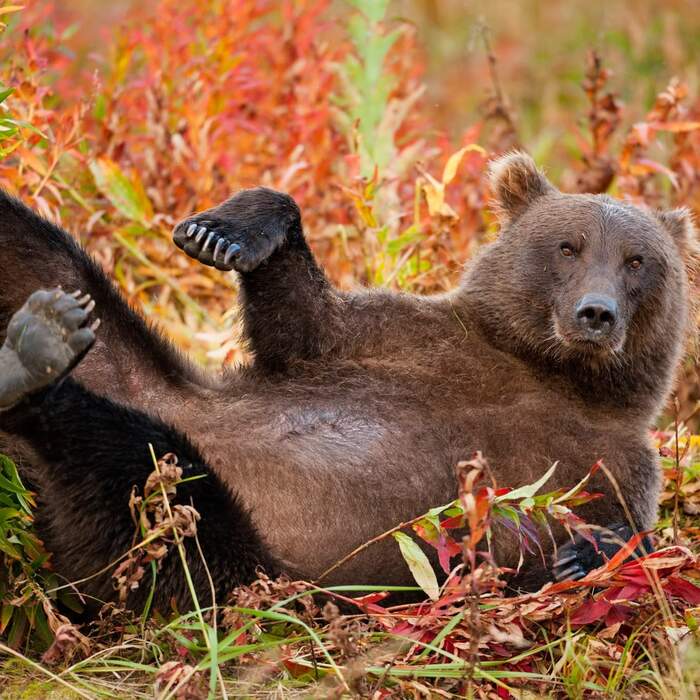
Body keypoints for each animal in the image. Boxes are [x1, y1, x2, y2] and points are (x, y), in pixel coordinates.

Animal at [0, 153, 696, 612]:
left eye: (637, 260)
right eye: (567, 246)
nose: (596, 313)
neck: (547, 371)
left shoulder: (613, 459)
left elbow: (631, 533)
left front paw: (584, 550)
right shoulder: (407, 339)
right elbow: (304, 323)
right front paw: (222, 230)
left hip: (222, 551)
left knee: (131, 464)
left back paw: (34, 359)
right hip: (133, 368)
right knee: (38, 252)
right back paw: (42, 341)